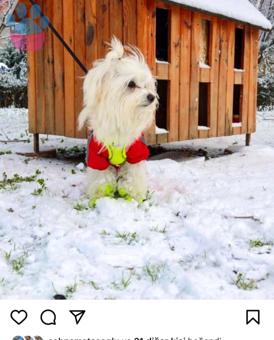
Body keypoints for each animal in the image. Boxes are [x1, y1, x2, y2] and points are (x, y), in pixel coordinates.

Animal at [78, 37, 157, 205]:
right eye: (131, 84)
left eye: (146, 85)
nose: (151, 96)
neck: (120, 118)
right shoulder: (97, 156)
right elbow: (102, 180)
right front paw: (101, 197)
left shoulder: (136, 153)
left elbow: (132, 178)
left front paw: (132, 196)